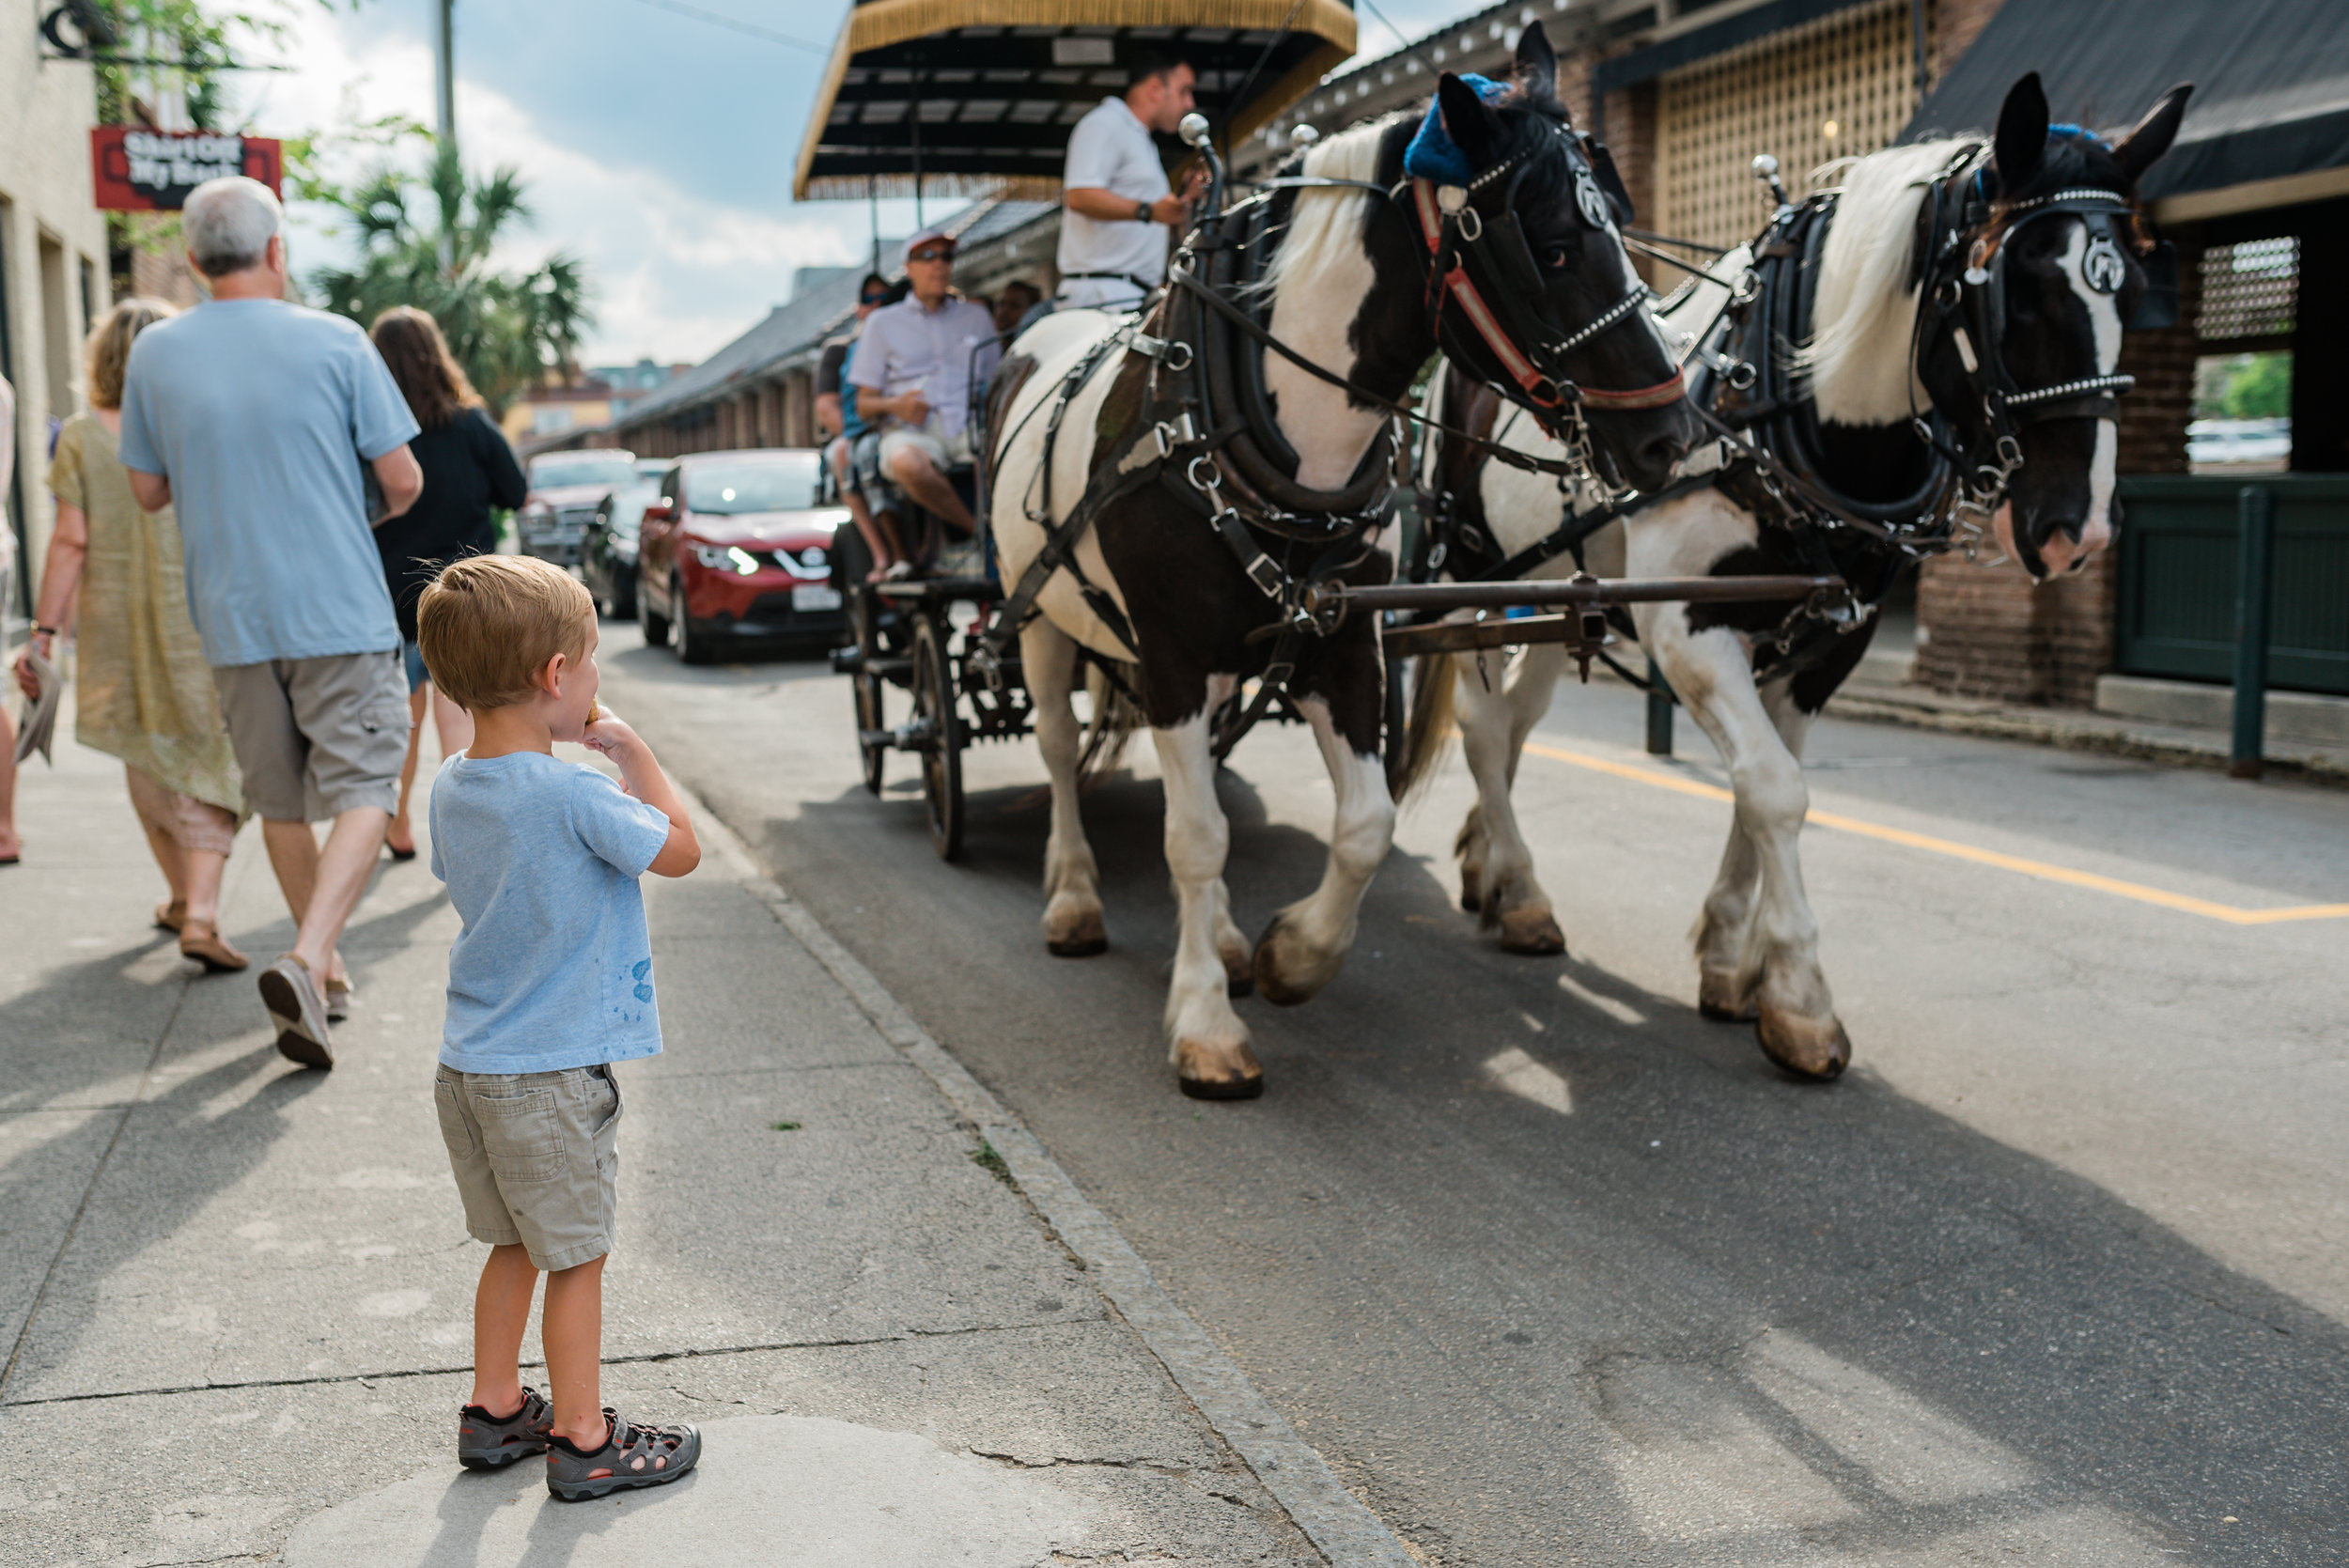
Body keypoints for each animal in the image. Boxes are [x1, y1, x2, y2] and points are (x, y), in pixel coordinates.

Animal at [982, 24, 1701, 1103]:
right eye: (1549, 247)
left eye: (1617, 220)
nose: (1670, 434)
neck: (1248, 423)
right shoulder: (1170, 658)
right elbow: (1195, 835)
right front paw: (1207, 1025)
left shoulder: (1342, 638)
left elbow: (1364, 824)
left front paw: (1288, 955)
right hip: (1038, 619)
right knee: (1063, 750)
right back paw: (1072, 895)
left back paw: (1224, 937)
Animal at [1391, 70, 2180, 1079]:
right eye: (2021, 290)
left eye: (2136, 291)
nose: (2079, 529)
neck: (1773, 412)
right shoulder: (1691, 628)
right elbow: (1773, 789)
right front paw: (1801, 998)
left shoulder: (1827, 638)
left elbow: (1764, 781)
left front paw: (1732, 958)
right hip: (1476, 571)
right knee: (1487, 728)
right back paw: (1522, 888)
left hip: (1561, 598)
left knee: (1519, 721)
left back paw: (1488, 862)